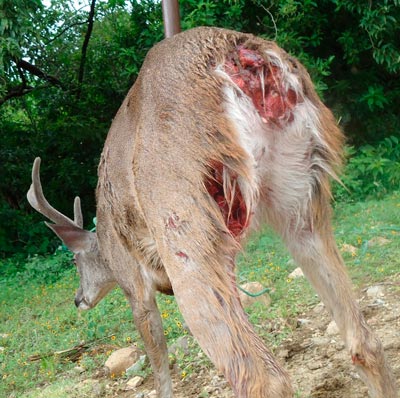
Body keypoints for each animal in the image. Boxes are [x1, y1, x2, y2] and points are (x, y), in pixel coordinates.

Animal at [27, 26, 396, 396]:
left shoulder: (134, 283)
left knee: (263, 378)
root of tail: (241, 57)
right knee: (365, 342)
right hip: (302, 195)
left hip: (184, 224)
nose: (78, 299)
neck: (104, 243)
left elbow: (159, 366)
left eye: (76, 261)